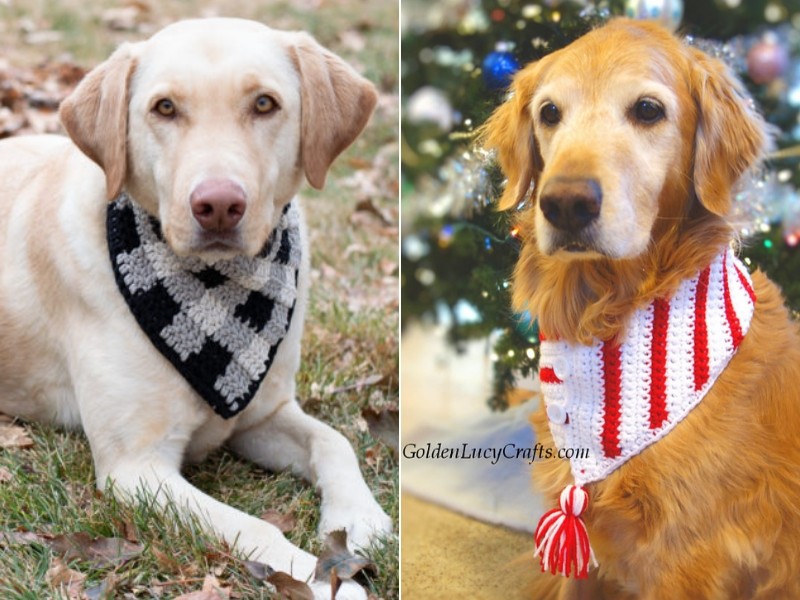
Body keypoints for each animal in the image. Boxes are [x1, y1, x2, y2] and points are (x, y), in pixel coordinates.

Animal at [0, 18, 390, 600]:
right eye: (164, 108)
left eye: (265, 103)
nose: (219, 205)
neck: (214, 294)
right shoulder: (135, 467)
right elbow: (254, 526)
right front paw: (321, 578)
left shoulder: (262, 414)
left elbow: (334, 439)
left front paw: (360, 518)